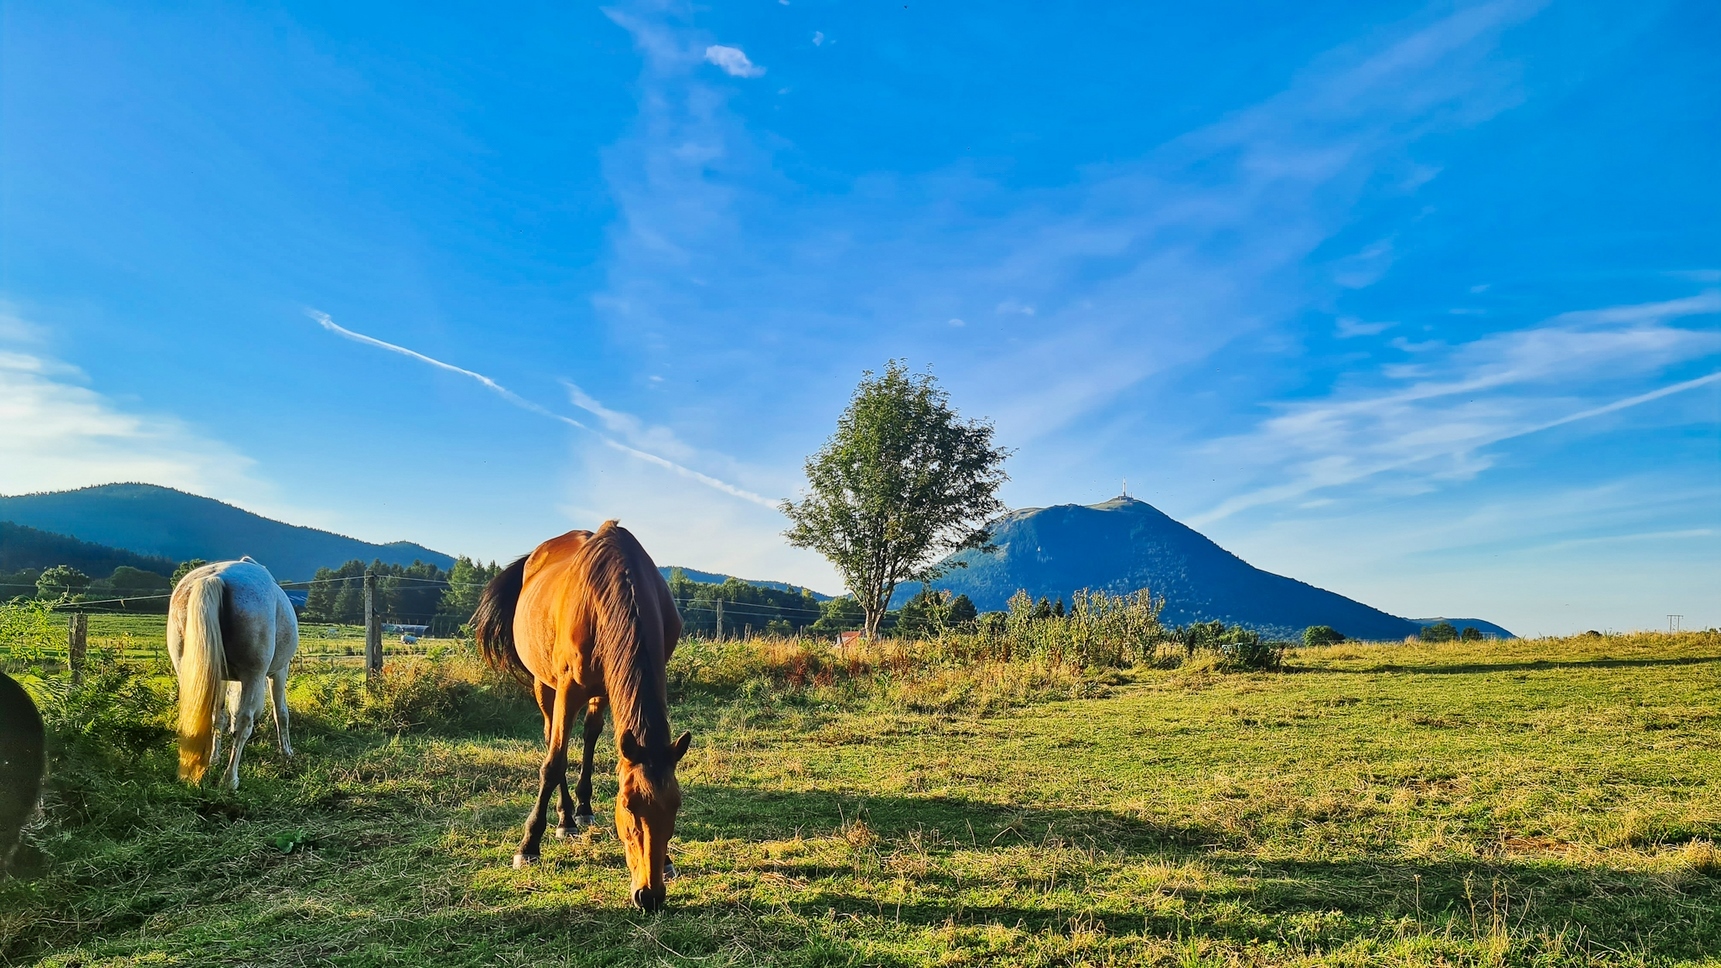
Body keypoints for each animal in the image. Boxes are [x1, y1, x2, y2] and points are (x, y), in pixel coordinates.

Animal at [167, 554, 299, 788]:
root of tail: (214, 578)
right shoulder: (279, 671)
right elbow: (281, 712)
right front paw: (287, 753)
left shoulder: (219, 677)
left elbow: (218, 717)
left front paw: (214, 759)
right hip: (254, 675)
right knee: (245, 720)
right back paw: (230, 779)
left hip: (189, 671)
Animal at [474, 516, 688, 909]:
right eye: (628, 806)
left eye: (675, 807)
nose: (649, 895)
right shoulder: (568, 688)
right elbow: (553, 763)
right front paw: (529, 844)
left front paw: (666, 860)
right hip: (546, 684)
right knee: (552, 740)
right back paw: (565, 819)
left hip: (600, 691)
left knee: (589, 734)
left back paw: (582, 809)